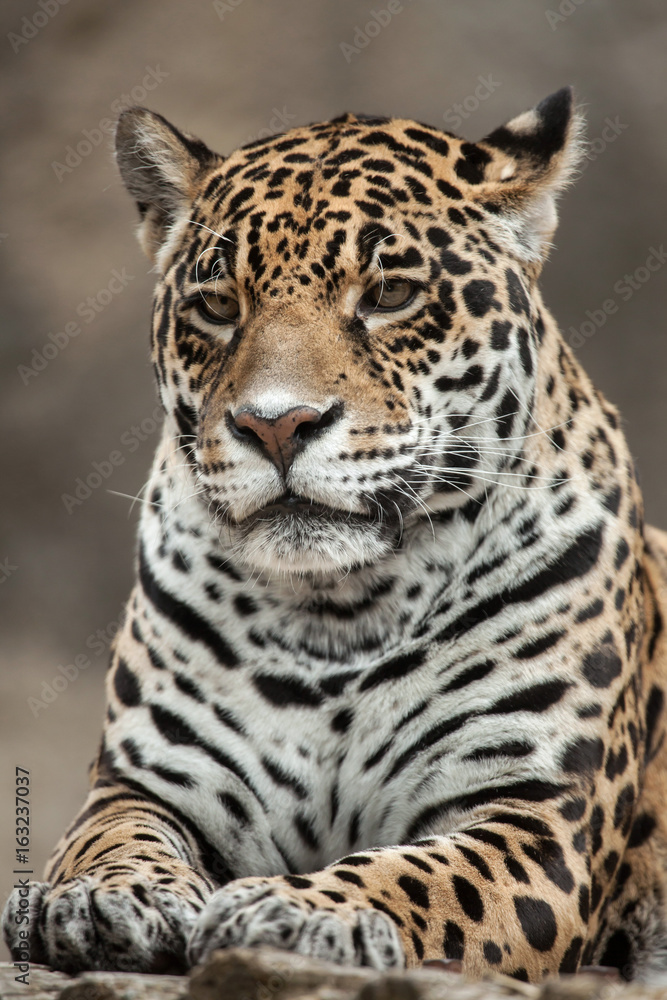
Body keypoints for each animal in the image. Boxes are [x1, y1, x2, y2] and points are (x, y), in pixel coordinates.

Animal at [5, 87, 667, 984]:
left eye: (388, 296)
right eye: (218, 306)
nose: (275, 425)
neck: (340, 608)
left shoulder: (535, 818)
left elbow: (415, 875)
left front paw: (295, 908)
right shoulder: (145, 782)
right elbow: (109, 838)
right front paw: (104, 898)